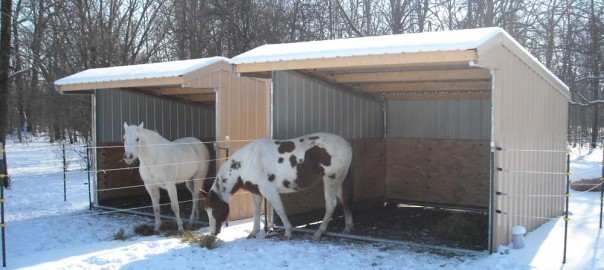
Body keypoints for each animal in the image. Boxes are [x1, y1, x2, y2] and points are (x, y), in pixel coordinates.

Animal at [204, 132, 354, 239]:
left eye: (215, 210)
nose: (213, 233)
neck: (248, 162)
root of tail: (347, 145)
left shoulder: (269, 191)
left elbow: (280, 209)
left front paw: (288, 232)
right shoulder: (256, 192)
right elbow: (256, 211)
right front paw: (254, 232)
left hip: (331, 180)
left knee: (331, 205)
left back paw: (318, 233)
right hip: (338, 181)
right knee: (345, 200)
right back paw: (347, 228)